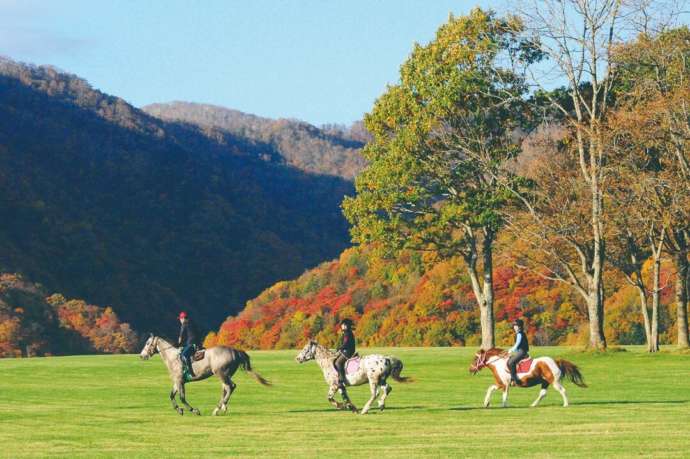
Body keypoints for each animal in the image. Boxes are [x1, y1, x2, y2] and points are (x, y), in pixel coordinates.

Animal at [139, 334, 268, 416]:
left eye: (148, 343)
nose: (142, 355)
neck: (173, 358)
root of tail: (234, 351)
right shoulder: (177, 381)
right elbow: (171, 395)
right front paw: (179, 410)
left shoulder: (180, 381)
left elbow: (182, 398)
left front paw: (194, 410)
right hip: (225, 375)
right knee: (226, 389)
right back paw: (221, 407)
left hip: (221, 374)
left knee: (231, 387)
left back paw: (219, 408)